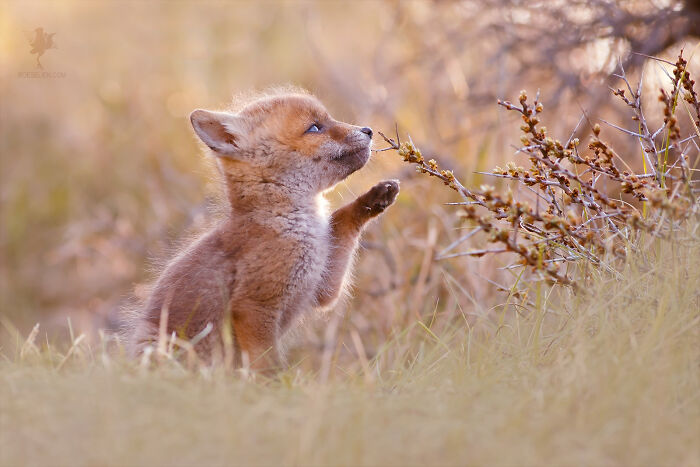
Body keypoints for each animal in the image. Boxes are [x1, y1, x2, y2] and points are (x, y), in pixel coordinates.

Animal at [128, 89, 396, 372]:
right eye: (314, 127)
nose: (368, 130)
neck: (291, 225)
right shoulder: (254, 306)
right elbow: (268, 366)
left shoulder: (321, 285)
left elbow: (343, 217)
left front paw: (374, 199)